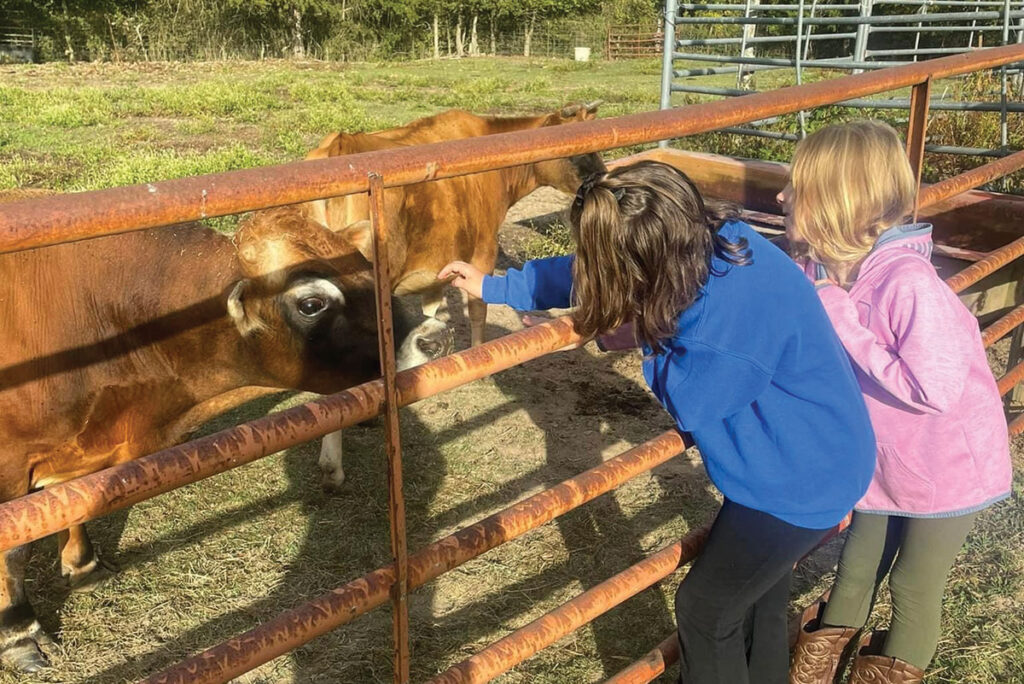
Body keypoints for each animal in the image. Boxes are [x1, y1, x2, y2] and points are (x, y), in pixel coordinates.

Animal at [0, 197, 448, 671]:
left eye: (366, 268)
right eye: (311, 303)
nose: (435, 337)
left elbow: (74, 505)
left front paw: (83, 566)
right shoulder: (10, 466)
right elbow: (15, 550)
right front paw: (20, 635)